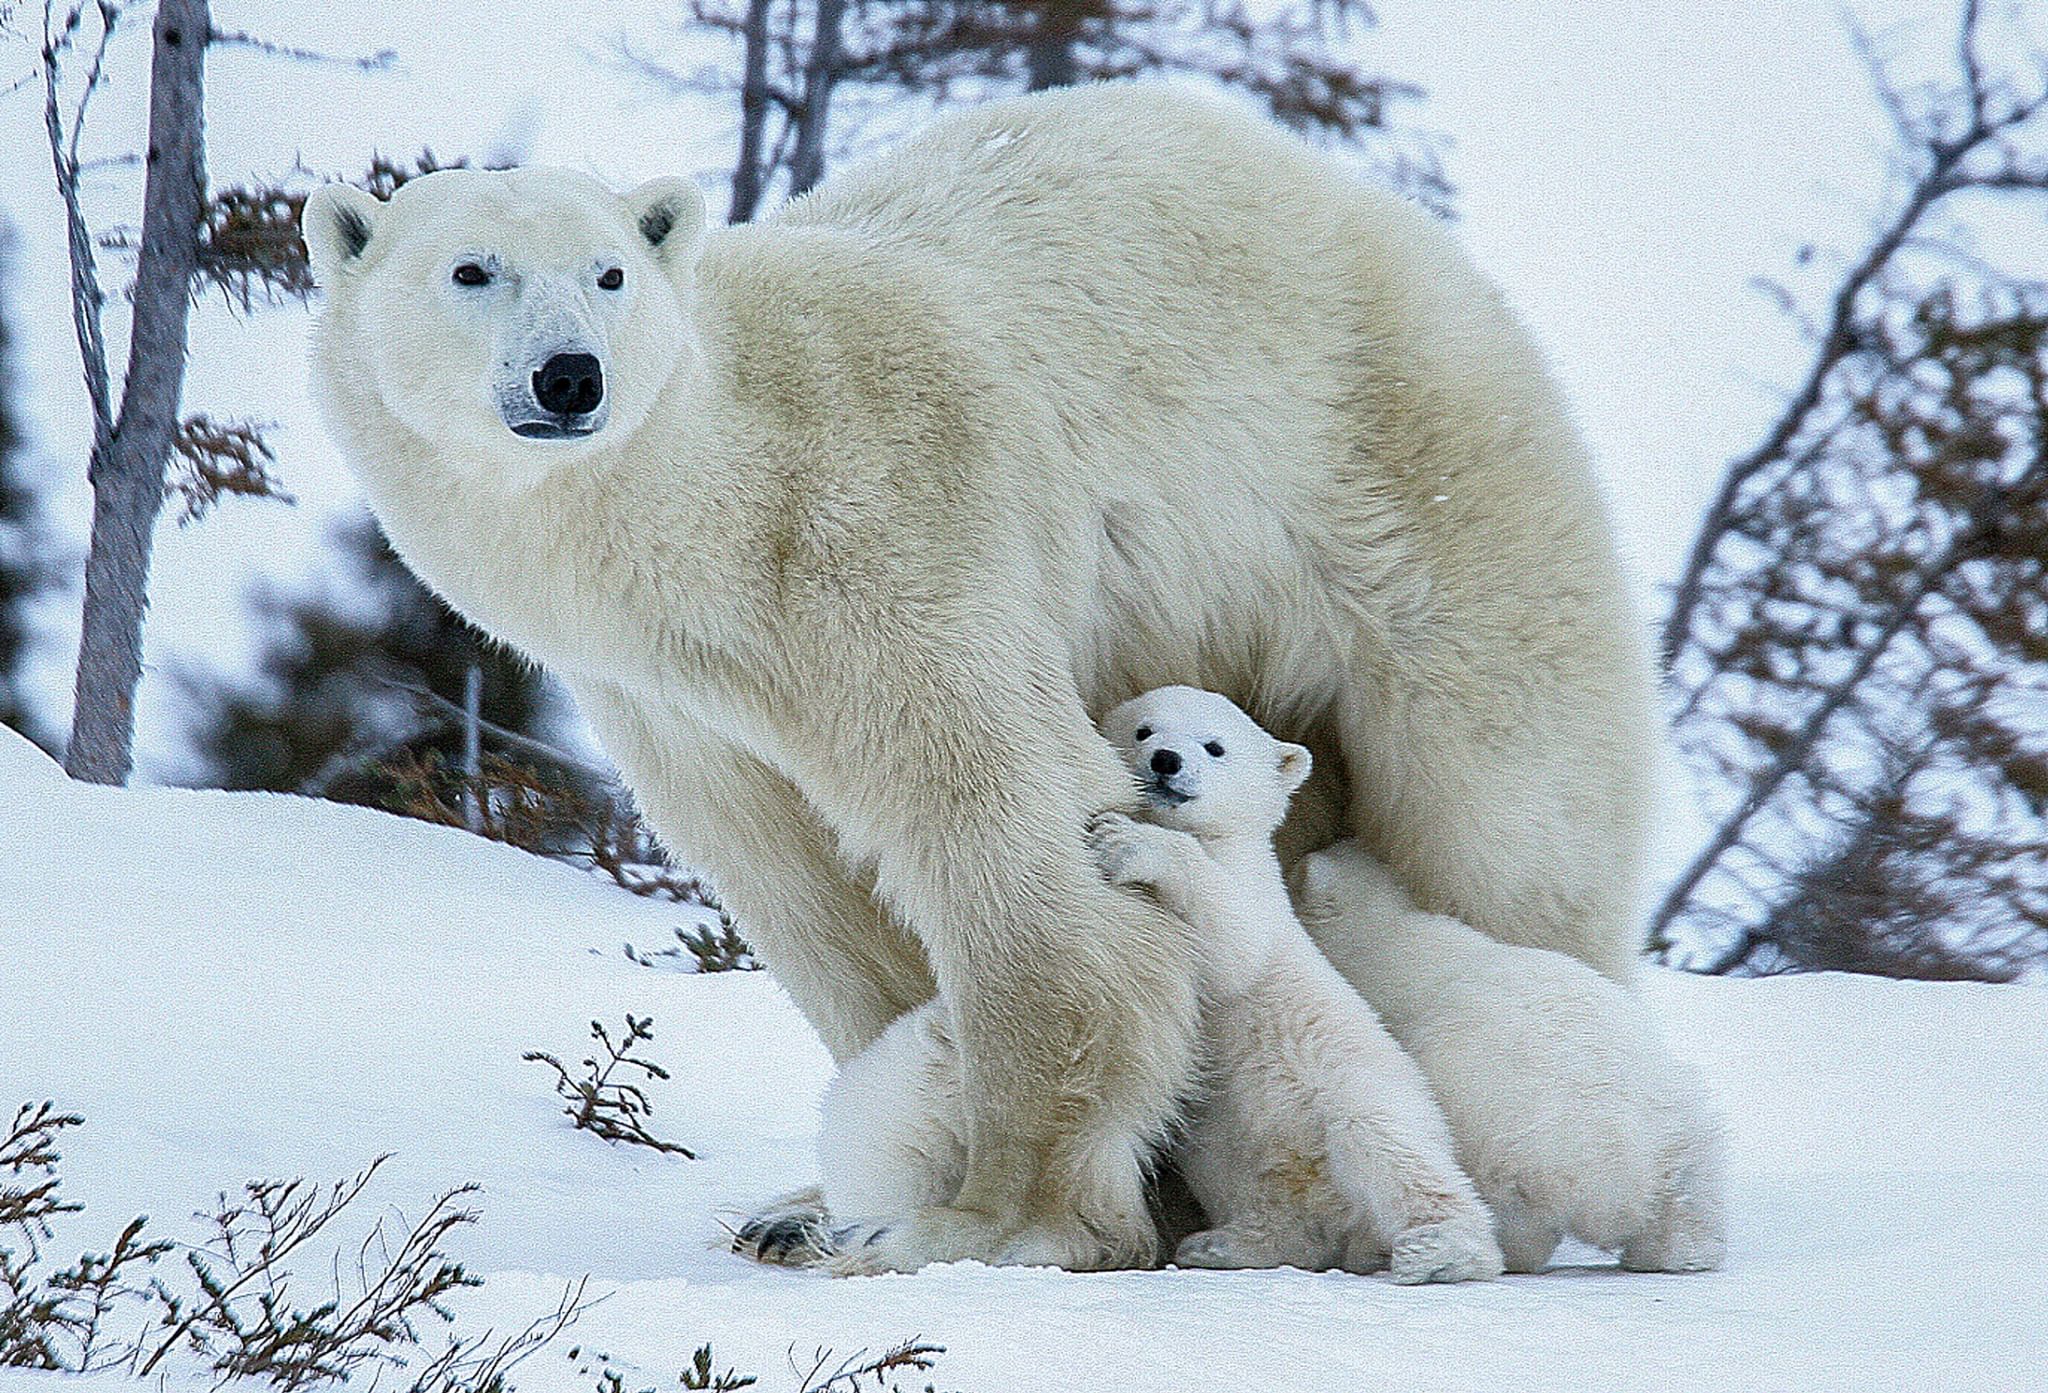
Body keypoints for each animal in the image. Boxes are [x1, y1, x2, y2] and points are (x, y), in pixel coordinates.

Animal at [299, 78, 1646, 1270]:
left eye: (607, 272)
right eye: (470, 270)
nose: (571, 376)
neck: (723, 518)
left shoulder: (887, 536)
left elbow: (1008, 825)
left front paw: (987, 1222)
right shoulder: (670, 700)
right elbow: (805, 891)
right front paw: (815, 1207)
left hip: (1417, 501)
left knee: (1506, 829)